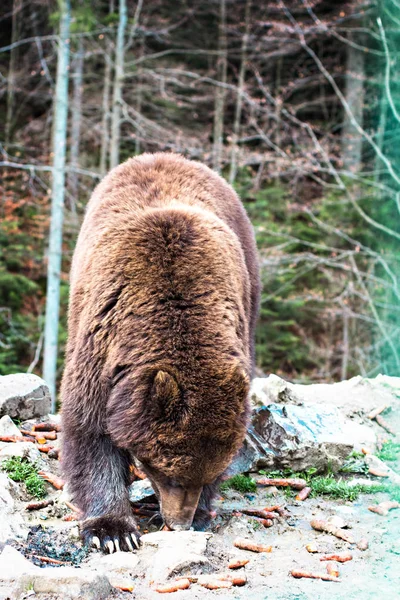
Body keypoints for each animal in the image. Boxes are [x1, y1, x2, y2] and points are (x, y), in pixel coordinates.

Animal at [59, 152, 260, 552]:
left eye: (207, 474)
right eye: (169, 473)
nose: (179, 522)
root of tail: (162, 155)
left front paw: (201, 513)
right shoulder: (102, 342)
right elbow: (89, 428)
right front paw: (112, 530)